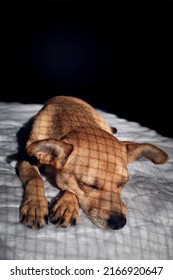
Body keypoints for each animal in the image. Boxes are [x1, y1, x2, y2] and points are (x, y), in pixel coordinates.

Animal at [17, 96, 168, 230]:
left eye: (123, 183)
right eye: (88, 185)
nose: (119, 223)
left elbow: (71, 189)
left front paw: (66, 205)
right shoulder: (25, 161)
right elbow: (35, 178)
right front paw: (35, 206)